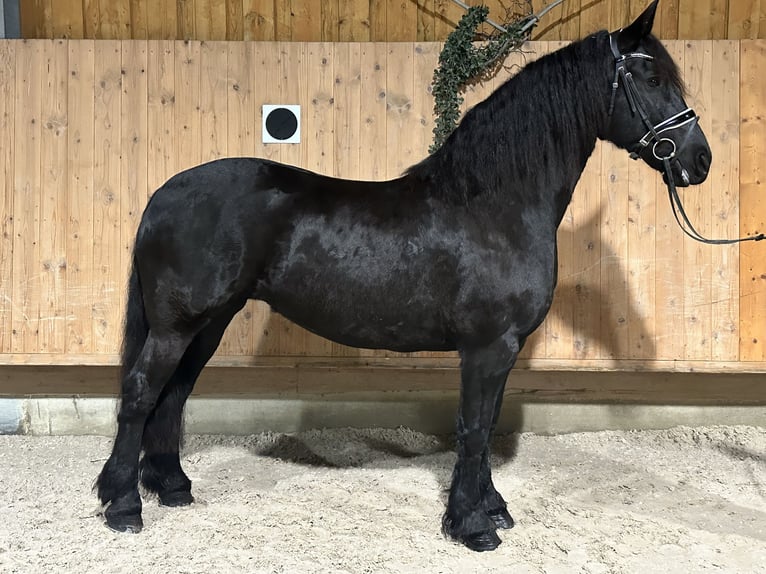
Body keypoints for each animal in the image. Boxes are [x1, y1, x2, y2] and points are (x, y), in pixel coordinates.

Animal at [96, 0, 711, 552]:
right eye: (651, 76)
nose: (699, 160)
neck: (492, 206)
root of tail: (163, 194)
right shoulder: (488, 346)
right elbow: (472, 428)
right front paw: (473, 526)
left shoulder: (503, 349)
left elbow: (486, 426)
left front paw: (492, 508)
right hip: (179, 326)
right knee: (141, 392)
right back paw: (124, 507)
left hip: (210, 323)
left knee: (172, 394)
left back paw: (170, 487)